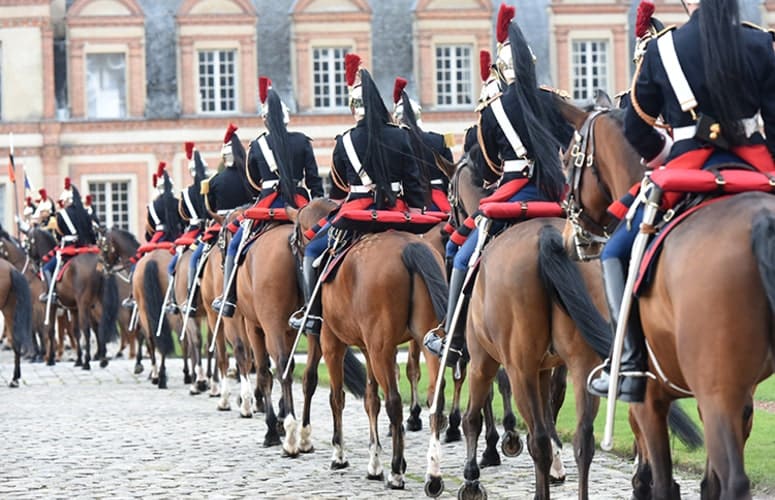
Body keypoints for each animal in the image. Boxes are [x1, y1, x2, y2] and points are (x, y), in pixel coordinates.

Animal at [290, 198, 448, 488]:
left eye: (295, 243)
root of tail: (410, 247)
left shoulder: (332, 343)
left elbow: (336, 396)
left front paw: (339, 455)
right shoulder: (368, 347)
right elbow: (370, 400)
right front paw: (374, 463)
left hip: (380, 349)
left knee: (394, 402)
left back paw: (397, 473)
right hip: (421, 342)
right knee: (434, 397)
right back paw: (432, 474)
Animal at [556, 100, 768, 500]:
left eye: (567, 159)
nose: (567, 239)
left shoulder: (650, 400)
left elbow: (663, 483)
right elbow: (707, 484)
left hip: (718, 394)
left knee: (735, 481)